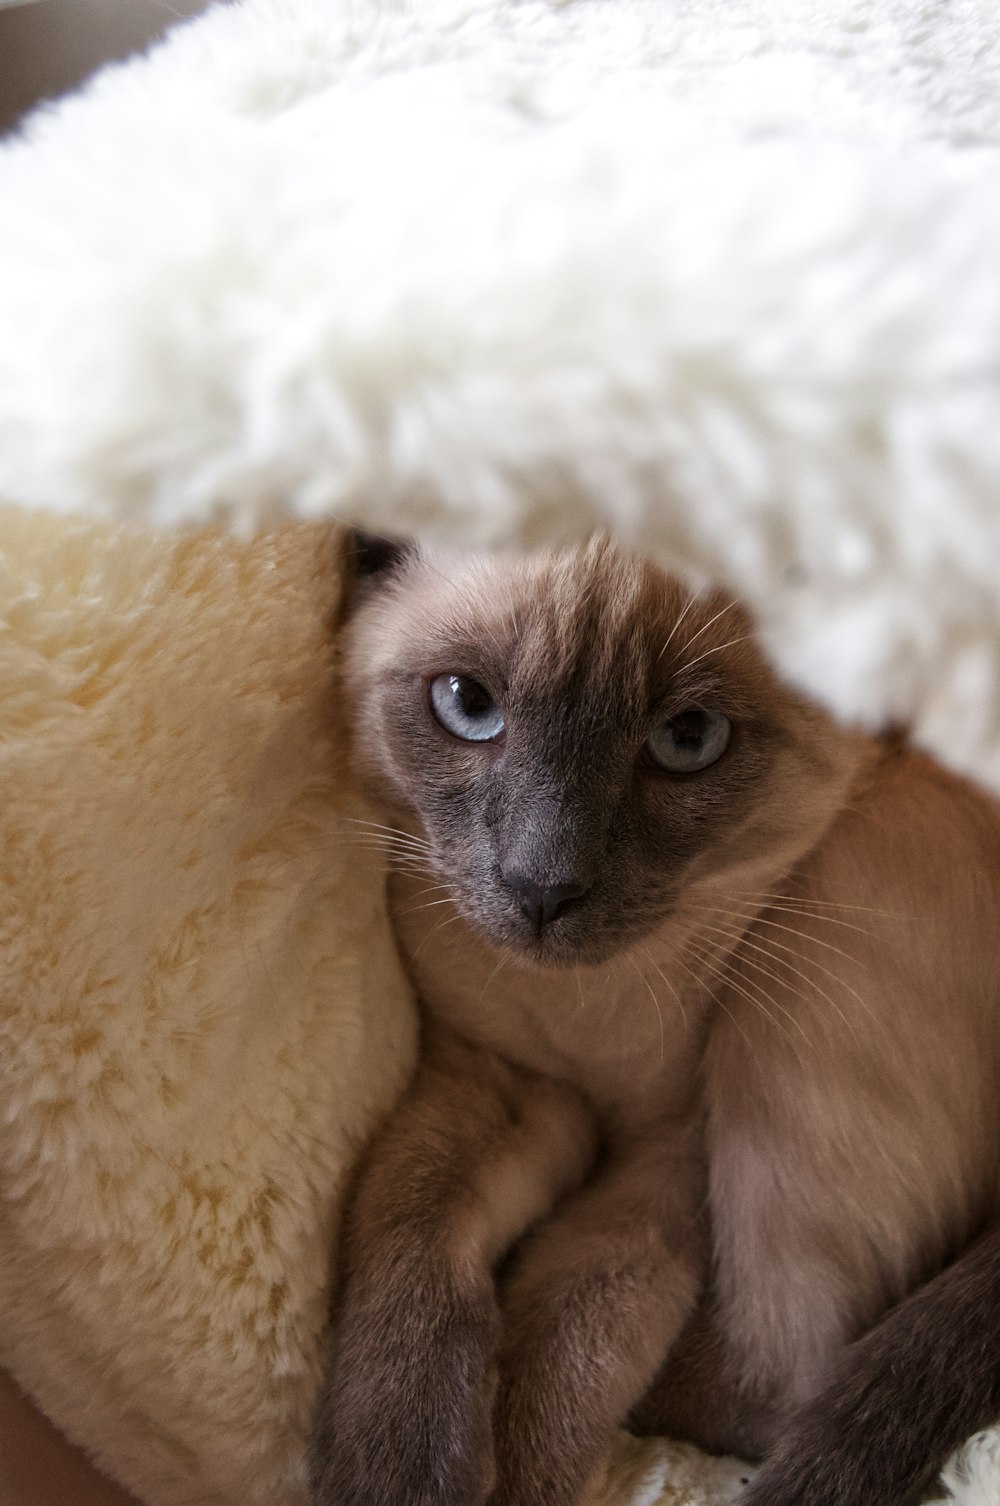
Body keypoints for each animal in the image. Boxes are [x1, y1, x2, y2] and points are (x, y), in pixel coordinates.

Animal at [308, 533, 993, 1506]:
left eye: (686, 740)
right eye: (470, 706)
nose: (542, 889)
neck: (587, 1024)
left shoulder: (671, 1152)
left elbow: (563, 1342)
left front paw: (503, 1466)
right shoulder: (506, 1077)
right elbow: (407, 1211)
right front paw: (401, 1466)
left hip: (810, 959)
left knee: (790, 1379)